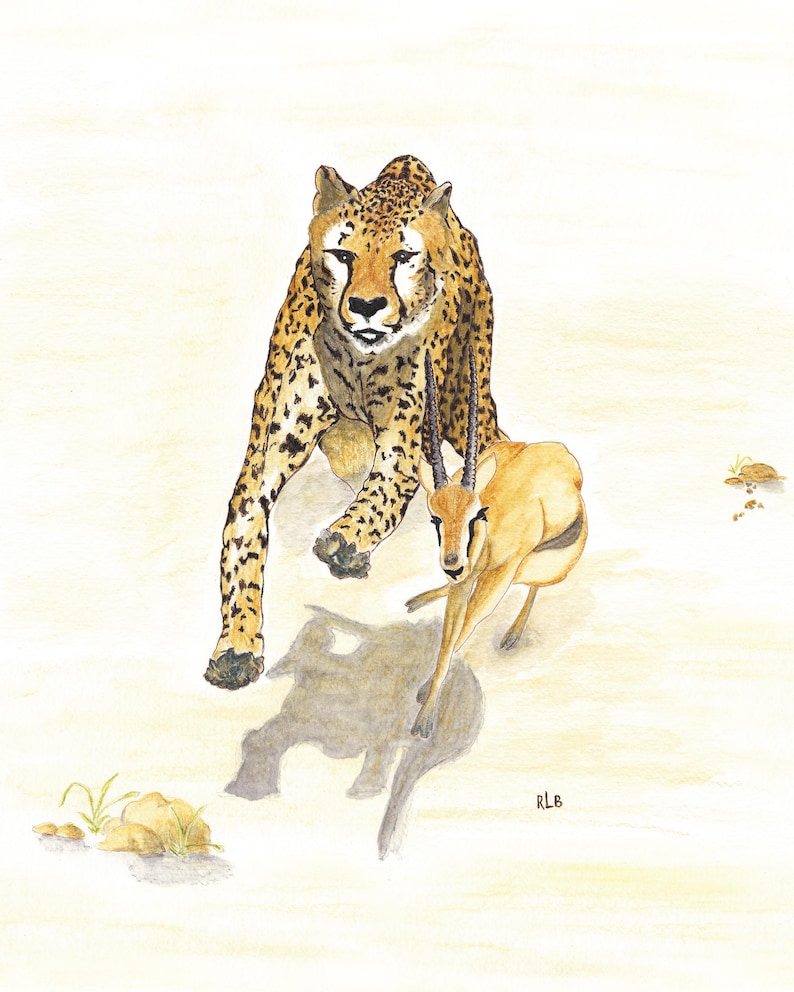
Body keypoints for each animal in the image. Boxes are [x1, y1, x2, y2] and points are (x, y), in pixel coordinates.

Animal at [408, 350, 587, 738]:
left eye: (477, 514)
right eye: (435, 518)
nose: (453, 563)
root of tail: (566, 458)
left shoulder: (499, 574)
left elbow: (467, 626)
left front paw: (424, 713)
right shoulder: (464, 582)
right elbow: (448, 636)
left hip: (536, 569)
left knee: (534, 586)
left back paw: (512, 635)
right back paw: (418, 599)